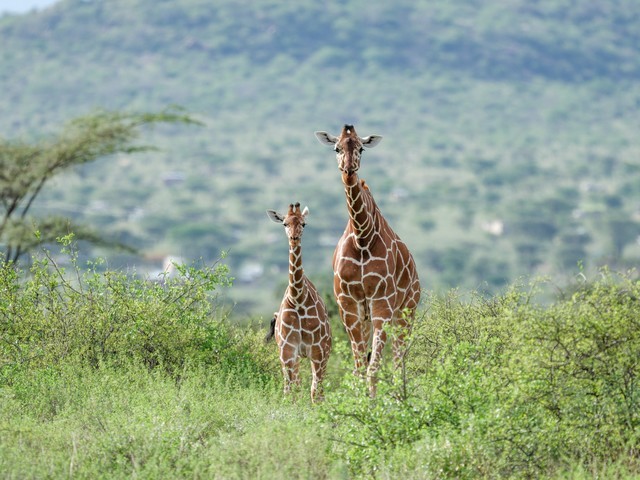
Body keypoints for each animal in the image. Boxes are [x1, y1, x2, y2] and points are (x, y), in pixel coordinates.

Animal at [266, 202, 332, 402]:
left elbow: (315, 392)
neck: (298, 298)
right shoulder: (288, 351)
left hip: (323, 352)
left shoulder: (318, 351)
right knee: (293, 385)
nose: (294, 238)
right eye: (285, 223)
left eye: (304, 224)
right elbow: (291, 391)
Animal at [314, 124, 420, 398]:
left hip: (406, 312)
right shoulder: (348, 304)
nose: (349, 169)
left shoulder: (382, 302)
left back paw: (398, 399)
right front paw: (359, 401)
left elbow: (374, 367)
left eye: (361, 149)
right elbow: (359, 366)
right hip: (366, 317)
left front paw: (372, 404)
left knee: (399, 362)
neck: (362, 237)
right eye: (336, 148)